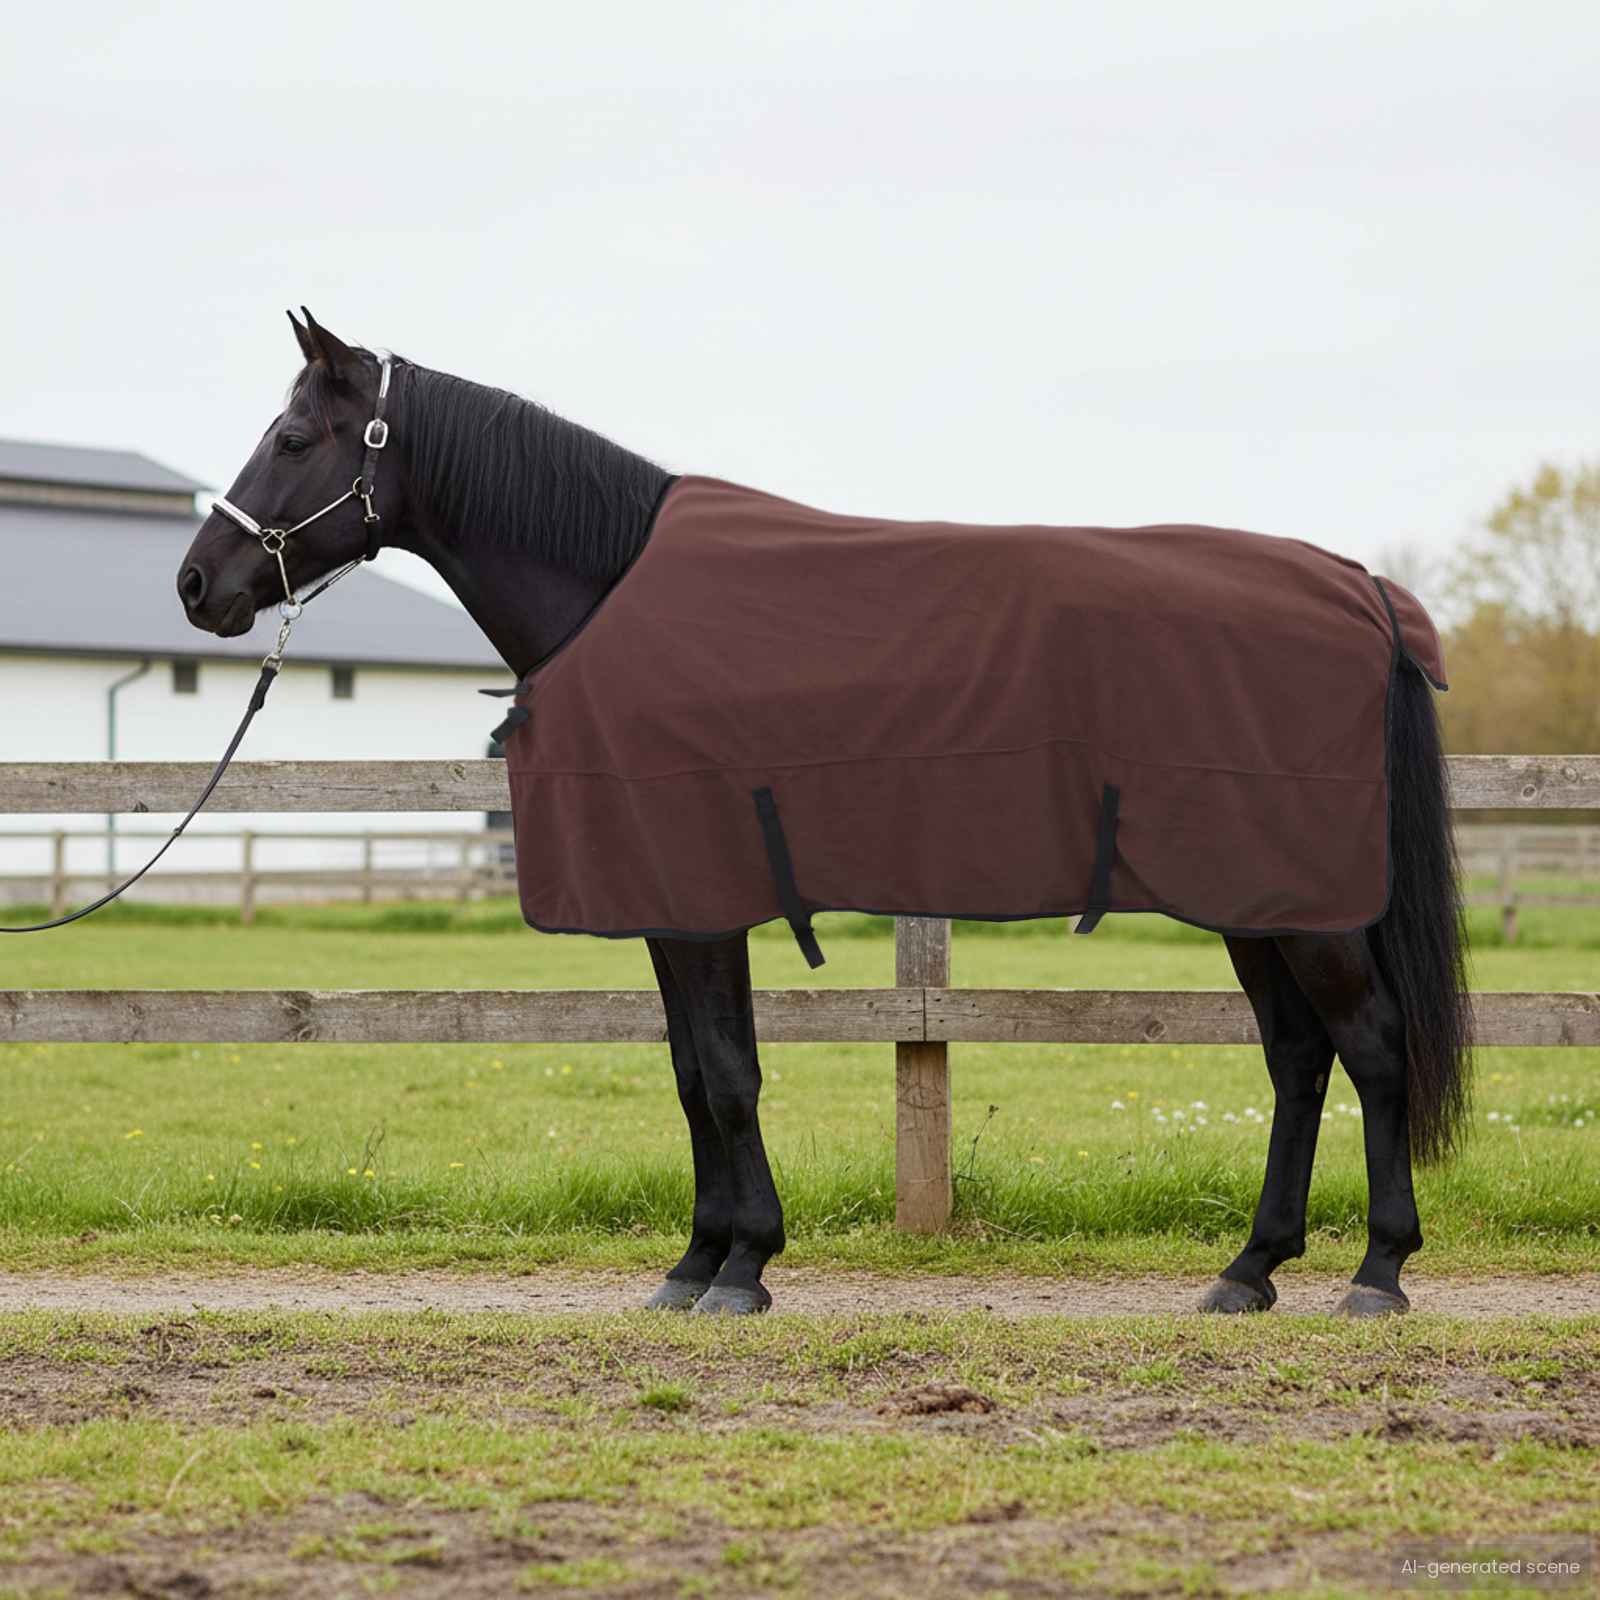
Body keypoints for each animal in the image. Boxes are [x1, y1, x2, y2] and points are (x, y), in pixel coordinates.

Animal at [176, 309, 1472, 1317]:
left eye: (292, 438)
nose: (198, 585)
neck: (613, 590)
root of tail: (1358, 587)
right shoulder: (675, 905)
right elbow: (695, 1071)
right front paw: (700, 1260)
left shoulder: (697, 899)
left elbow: (725, 1074)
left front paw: (740, 1266)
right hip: (1256, 898)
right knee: (1298, 1057)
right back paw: (1249, 1269)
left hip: (1304, 905)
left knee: (1371, 1046)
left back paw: (1376, 1272)